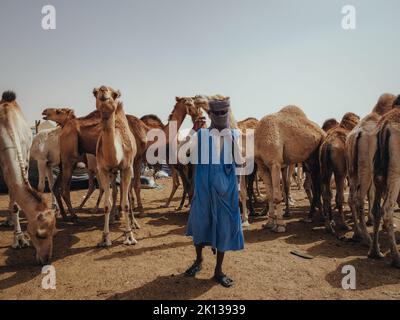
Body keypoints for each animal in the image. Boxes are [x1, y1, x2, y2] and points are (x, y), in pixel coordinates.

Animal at [0, 90, 56, 264]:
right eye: (39, 234)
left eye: (54, 232)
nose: (46, 259)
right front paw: (18, 239)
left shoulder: (24, 158)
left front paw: (19, 237)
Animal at [93, 85, 138, 248]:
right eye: (95, 92)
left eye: (114, 94)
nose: (103, 93)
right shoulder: (103, 170)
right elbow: (106, 204)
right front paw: (105, 238)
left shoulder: (127, 168)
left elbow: (126, 203)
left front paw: (129, 236)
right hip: (113, 172)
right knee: (115, 192)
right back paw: (113, 217)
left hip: (130, 168)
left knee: (129, 195)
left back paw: (133, 223)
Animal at [346, 92, 398, 248]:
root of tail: (357, 135)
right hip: (368, 170)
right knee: (360, 198)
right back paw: (368, 239)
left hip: (354, 171)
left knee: (352, 198)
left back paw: (358, 234)